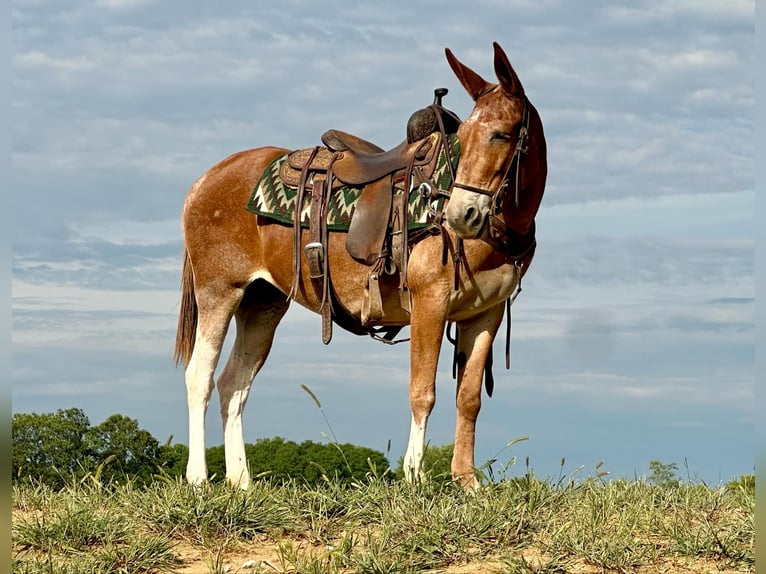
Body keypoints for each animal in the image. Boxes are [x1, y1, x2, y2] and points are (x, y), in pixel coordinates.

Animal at [176, 41, 544, 490]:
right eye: (465, 138)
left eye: (501, 134)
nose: (461, 214)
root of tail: (205, 180)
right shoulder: (430, 304)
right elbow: (422, 392)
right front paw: (415, 478)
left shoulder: (484, 315)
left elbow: (469, 398)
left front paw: (467, 482)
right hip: (219, 292)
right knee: (200, 377)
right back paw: (198, 478)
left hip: (262, 303)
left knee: (233, 384)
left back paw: (241, 482)